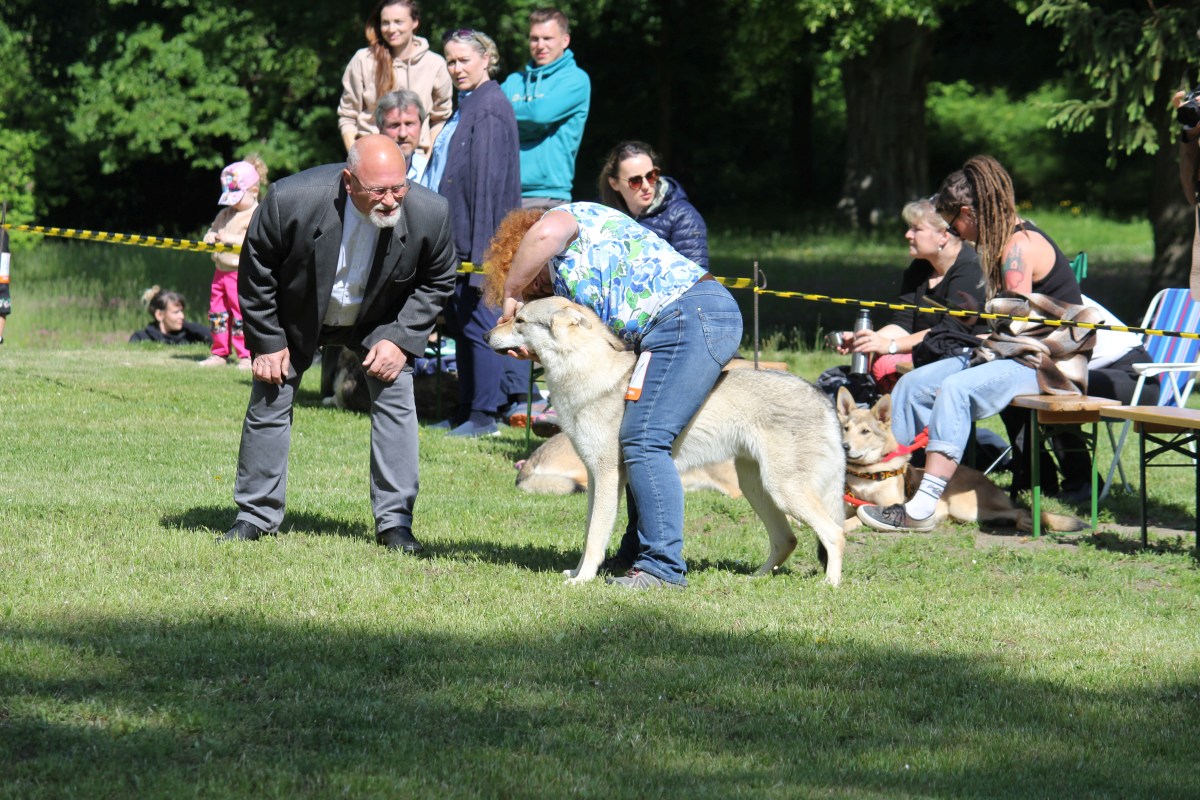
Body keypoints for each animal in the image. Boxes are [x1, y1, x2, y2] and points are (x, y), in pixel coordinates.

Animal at [835, 386, 1089, 532]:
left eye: (865, 432)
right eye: (845, 428)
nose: (844, 447)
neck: (867, 474)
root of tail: (984, 479)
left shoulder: (879, 506)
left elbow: (855, 518)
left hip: (967, 508)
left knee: (1021, 512)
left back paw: (1024, 522)